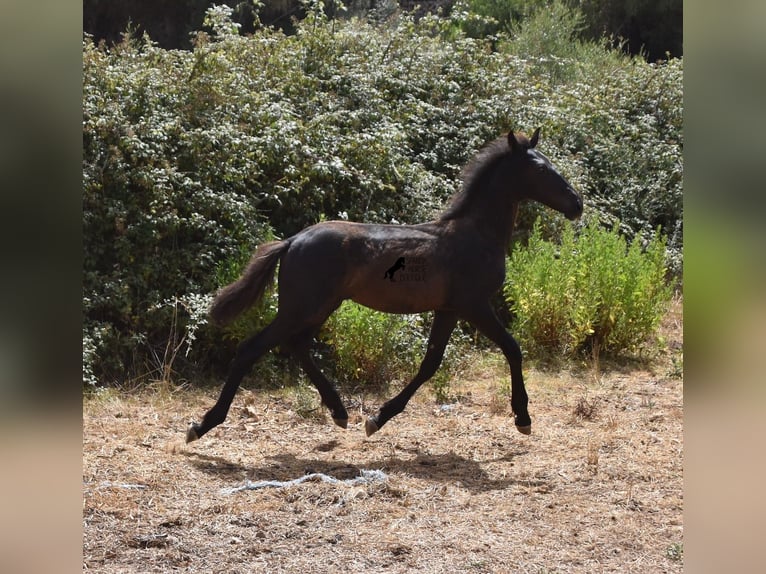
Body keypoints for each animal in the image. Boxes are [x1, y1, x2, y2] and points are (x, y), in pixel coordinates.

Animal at [186, 130, 584, 446]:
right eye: (541, 169)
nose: (576, 204)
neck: (476, 235)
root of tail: (292, 241)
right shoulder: (475, 305)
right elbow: (513, 349)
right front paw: (523, 419)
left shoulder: (449, 309)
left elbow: (430, 364)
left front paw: (377, 419)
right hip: (302, 306)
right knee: (251, 348)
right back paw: (202, 425)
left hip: (321, 306)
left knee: (297, 346)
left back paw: (339, 412)